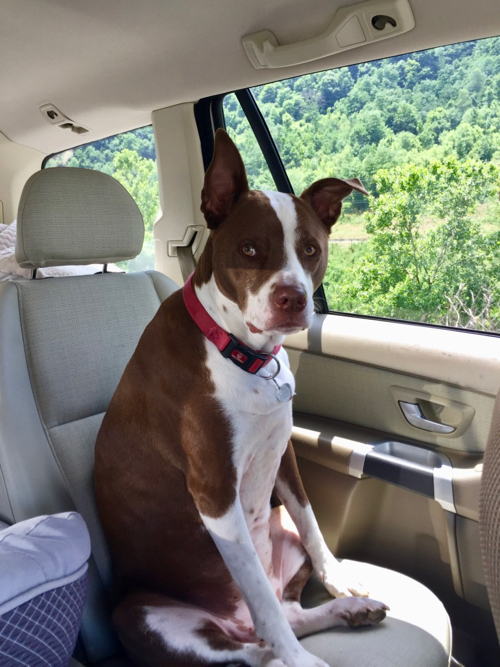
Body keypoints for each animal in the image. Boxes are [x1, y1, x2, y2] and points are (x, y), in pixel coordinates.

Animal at [95, 130, 388, 667]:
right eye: (250, 249)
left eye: (311, 249)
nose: (293, 298)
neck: (238, 351)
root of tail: (233, 623)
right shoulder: (214, 494)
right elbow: (258, 595)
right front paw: (297, 653)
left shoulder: (283, 450)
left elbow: (310, 518)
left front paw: (339, 579)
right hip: (143, 612)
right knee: (258, 643)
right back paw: (295, 655)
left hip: (279, 533)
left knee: (287, 611)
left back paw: (348, 610)